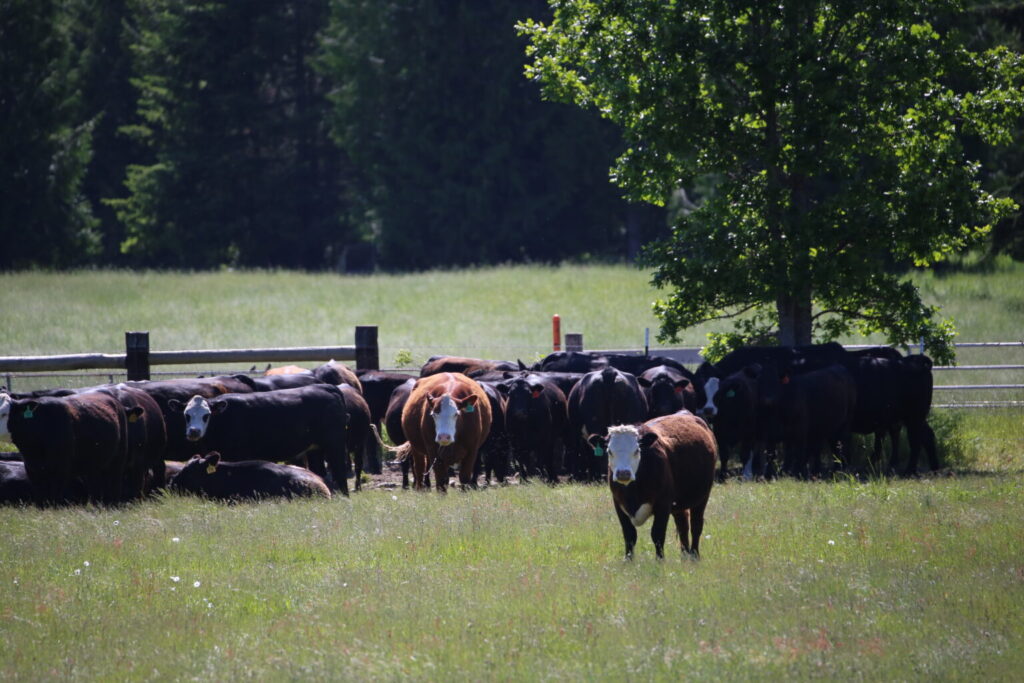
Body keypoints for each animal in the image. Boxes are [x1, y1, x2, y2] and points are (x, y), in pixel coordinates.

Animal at [1, 391, 130, 505]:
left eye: (3, 414)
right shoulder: (33, 469)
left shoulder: (60, 469)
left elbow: (55, 497)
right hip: (94, 465)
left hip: (118, 461)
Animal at [168, 383, 351, 495]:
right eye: (187, 415)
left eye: (206, 415)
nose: (194, 431)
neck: (222, 419)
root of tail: (327, 387)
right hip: (315, 449)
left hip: (335, 445)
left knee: (340, 473)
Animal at [589, 411, 717, 559]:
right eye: (609, 451)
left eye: (637, 450)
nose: (623, 473)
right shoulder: (618, 504)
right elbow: (629, 535)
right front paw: (628, 560)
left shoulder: (663, 504)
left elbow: (657, 534)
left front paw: (660, 560)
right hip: (679, 505)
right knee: (683, 525)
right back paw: (685, 556)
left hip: (703, 497)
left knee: (696, 525)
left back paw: (694, 556)